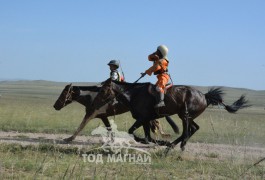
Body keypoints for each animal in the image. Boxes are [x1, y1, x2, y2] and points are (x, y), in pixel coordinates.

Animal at [91, 79, 248, 151]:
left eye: (103, 89)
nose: (95, 101)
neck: (134, 94)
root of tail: (205, 96)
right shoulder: (146, 120)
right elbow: (146, 137)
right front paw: (158, 142)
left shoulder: (143, 119)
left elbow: (134, 133)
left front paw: (162, 142)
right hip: (187, 116)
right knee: (193, 128)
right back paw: (177, 145)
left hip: (185, 116)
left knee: (187, 131)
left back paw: (172, 146)